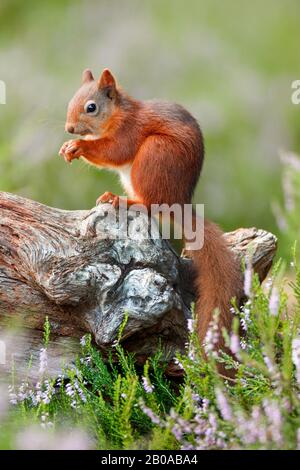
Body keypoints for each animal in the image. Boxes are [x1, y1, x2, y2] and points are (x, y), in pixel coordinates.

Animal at [59, 68, 244, 354]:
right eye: (71, 101)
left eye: (91, 107)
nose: (69, 128)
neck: (117, 115)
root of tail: (178, 203)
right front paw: (68, 146)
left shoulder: (130, 131)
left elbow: (115, 151)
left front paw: (79, 145)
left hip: (154, 155)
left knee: (150, 205)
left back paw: (125, 201)